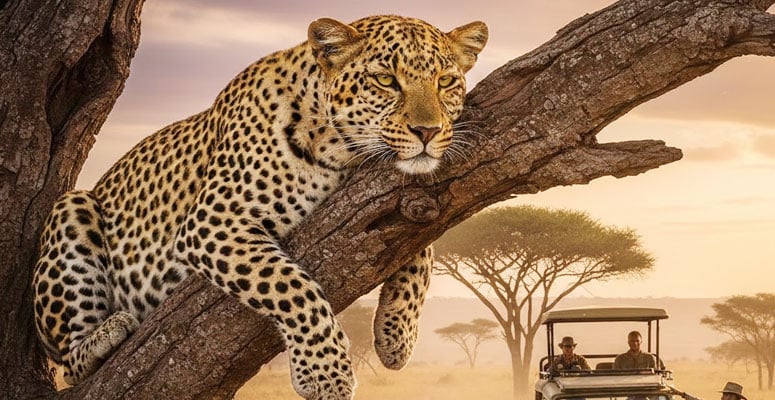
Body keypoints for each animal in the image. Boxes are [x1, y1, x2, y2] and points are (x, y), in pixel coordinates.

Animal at [32, 15, 487, 400]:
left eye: (447, 81)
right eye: (385, 80)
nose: (427, 131)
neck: (337, 147)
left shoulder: (388, 195)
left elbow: (423, 247)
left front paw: (397, 336)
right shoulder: (212, 223)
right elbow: (292, 287)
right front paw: (326, 374)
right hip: (71, 210)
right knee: (71, 365)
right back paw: (108, 333)